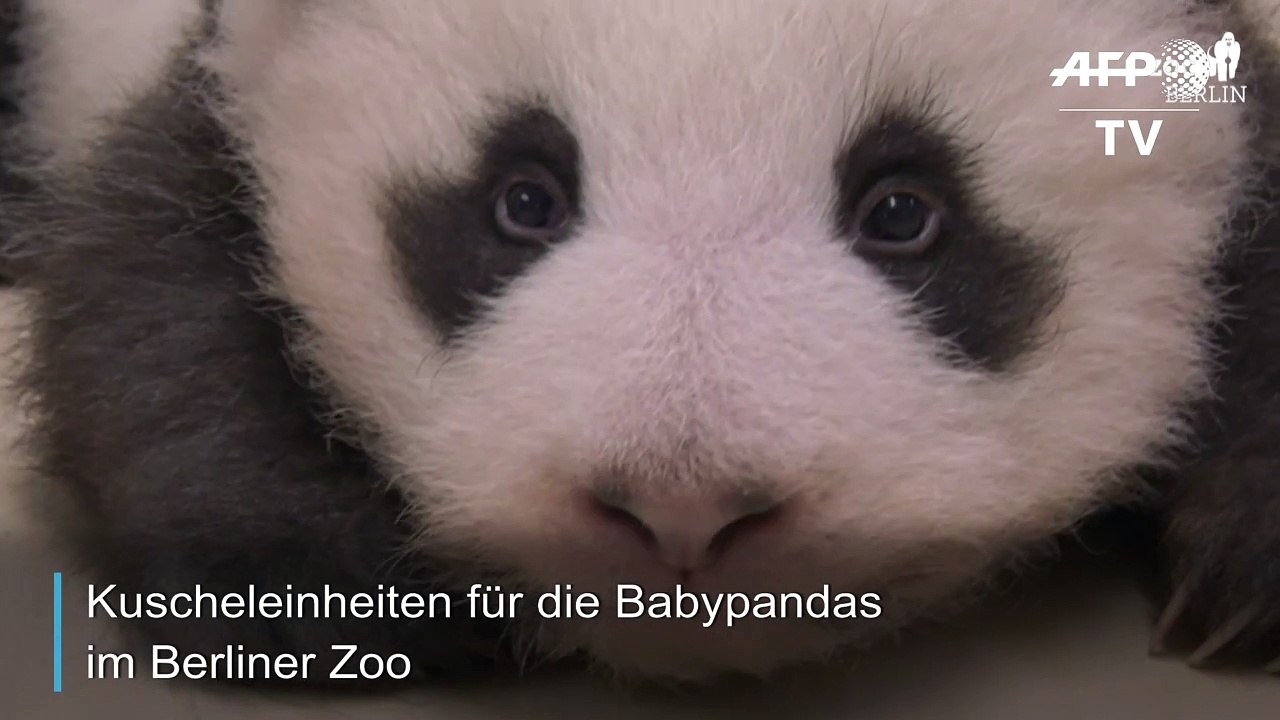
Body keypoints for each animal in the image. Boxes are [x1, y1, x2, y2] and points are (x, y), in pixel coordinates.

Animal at [0, 0, 1278, 685]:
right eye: (522, 199)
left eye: (903, 212)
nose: (682, 510)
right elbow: (145, 305)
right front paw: (340, 592)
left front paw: (1234, 584)